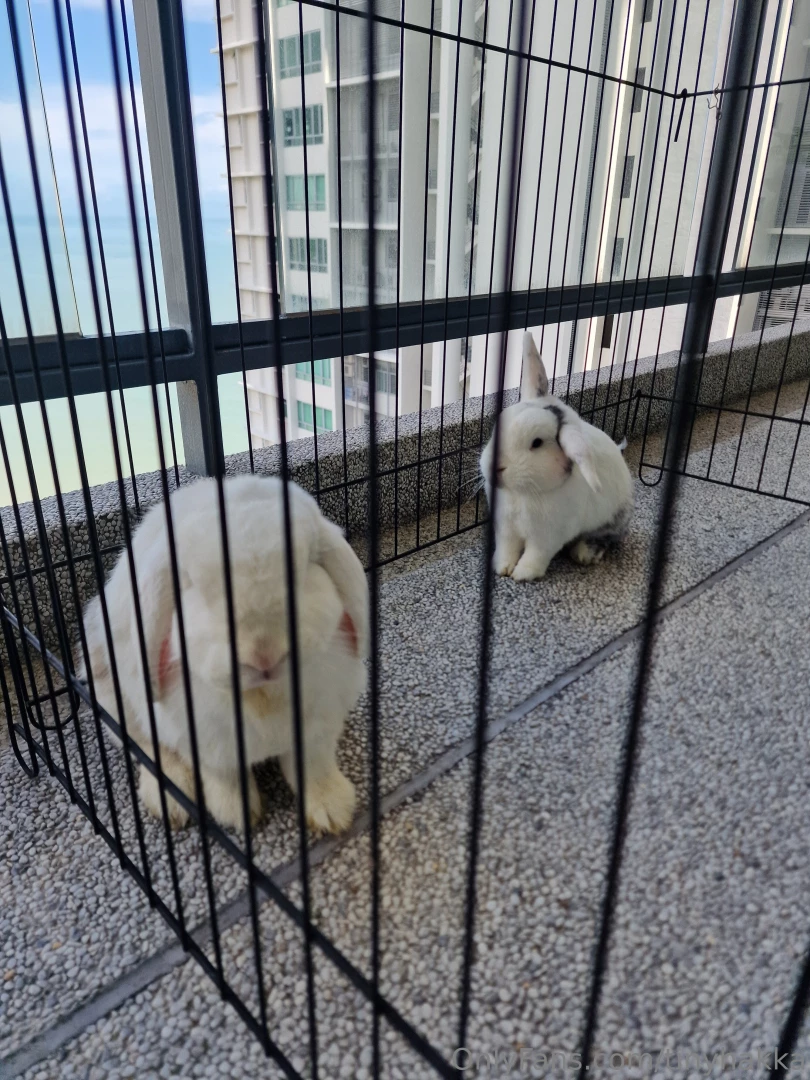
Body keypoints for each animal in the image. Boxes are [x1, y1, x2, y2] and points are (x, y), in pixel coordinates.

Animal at [77, 474, 368, 835]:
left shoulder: (318, 728)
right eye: (196, 586)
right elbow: (225, 777)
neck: (262, 694)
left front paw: (333, 812)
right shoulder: (208, 743)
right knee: (151, 750)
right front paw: (238, 816)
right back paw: (171, 804)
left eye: (302, 573)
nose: (265, 654)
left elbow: (314, 767)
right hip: (116, 701)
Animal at [479, 332, 633, 581]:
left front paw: (522, 574)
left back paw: (584, 554)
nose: (496, 466)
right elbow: (506, 549)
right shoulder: (506, 530)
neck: (523, 493)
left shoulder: (547, 537)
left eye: (537, 443)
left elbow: (536, 555)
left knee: (608, 537)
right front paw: (502, 568)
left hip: (610, 521)